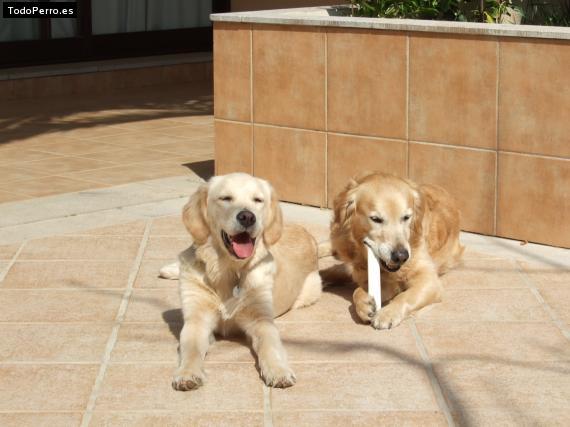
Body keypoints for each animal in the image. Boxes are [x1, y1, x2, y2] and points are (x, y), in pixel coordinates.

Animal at [163, 173, 324, 392]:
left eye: (258, 200)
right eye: (226, 198)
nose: (247, 217)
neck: (228, 272)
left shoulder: (261, 319)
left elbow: (270, 346)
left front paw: (278, 371)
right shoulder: (196, 318)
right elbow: (191, 349)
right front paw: (187, 373)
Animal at [328, 173, 462, 332]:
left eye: (406, 217)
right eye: (376, 219)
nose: (401, 256)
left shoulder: (429, 281)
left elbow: (404, 296)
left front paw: (388, 314)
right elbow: (358, 291)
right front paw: (365, 304)